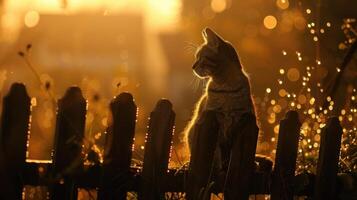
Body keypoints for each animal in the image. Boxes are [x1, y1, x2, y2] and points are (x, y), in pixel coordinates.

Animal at [184, 28, 256, 171]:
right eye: (196, 57)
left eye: (201, 57)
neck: (225, 87)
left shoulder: (241, 120)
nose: (192, 66)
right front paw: (216, 167)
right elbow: (216, 154)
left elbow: (233, 156)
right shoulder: (213, 121)